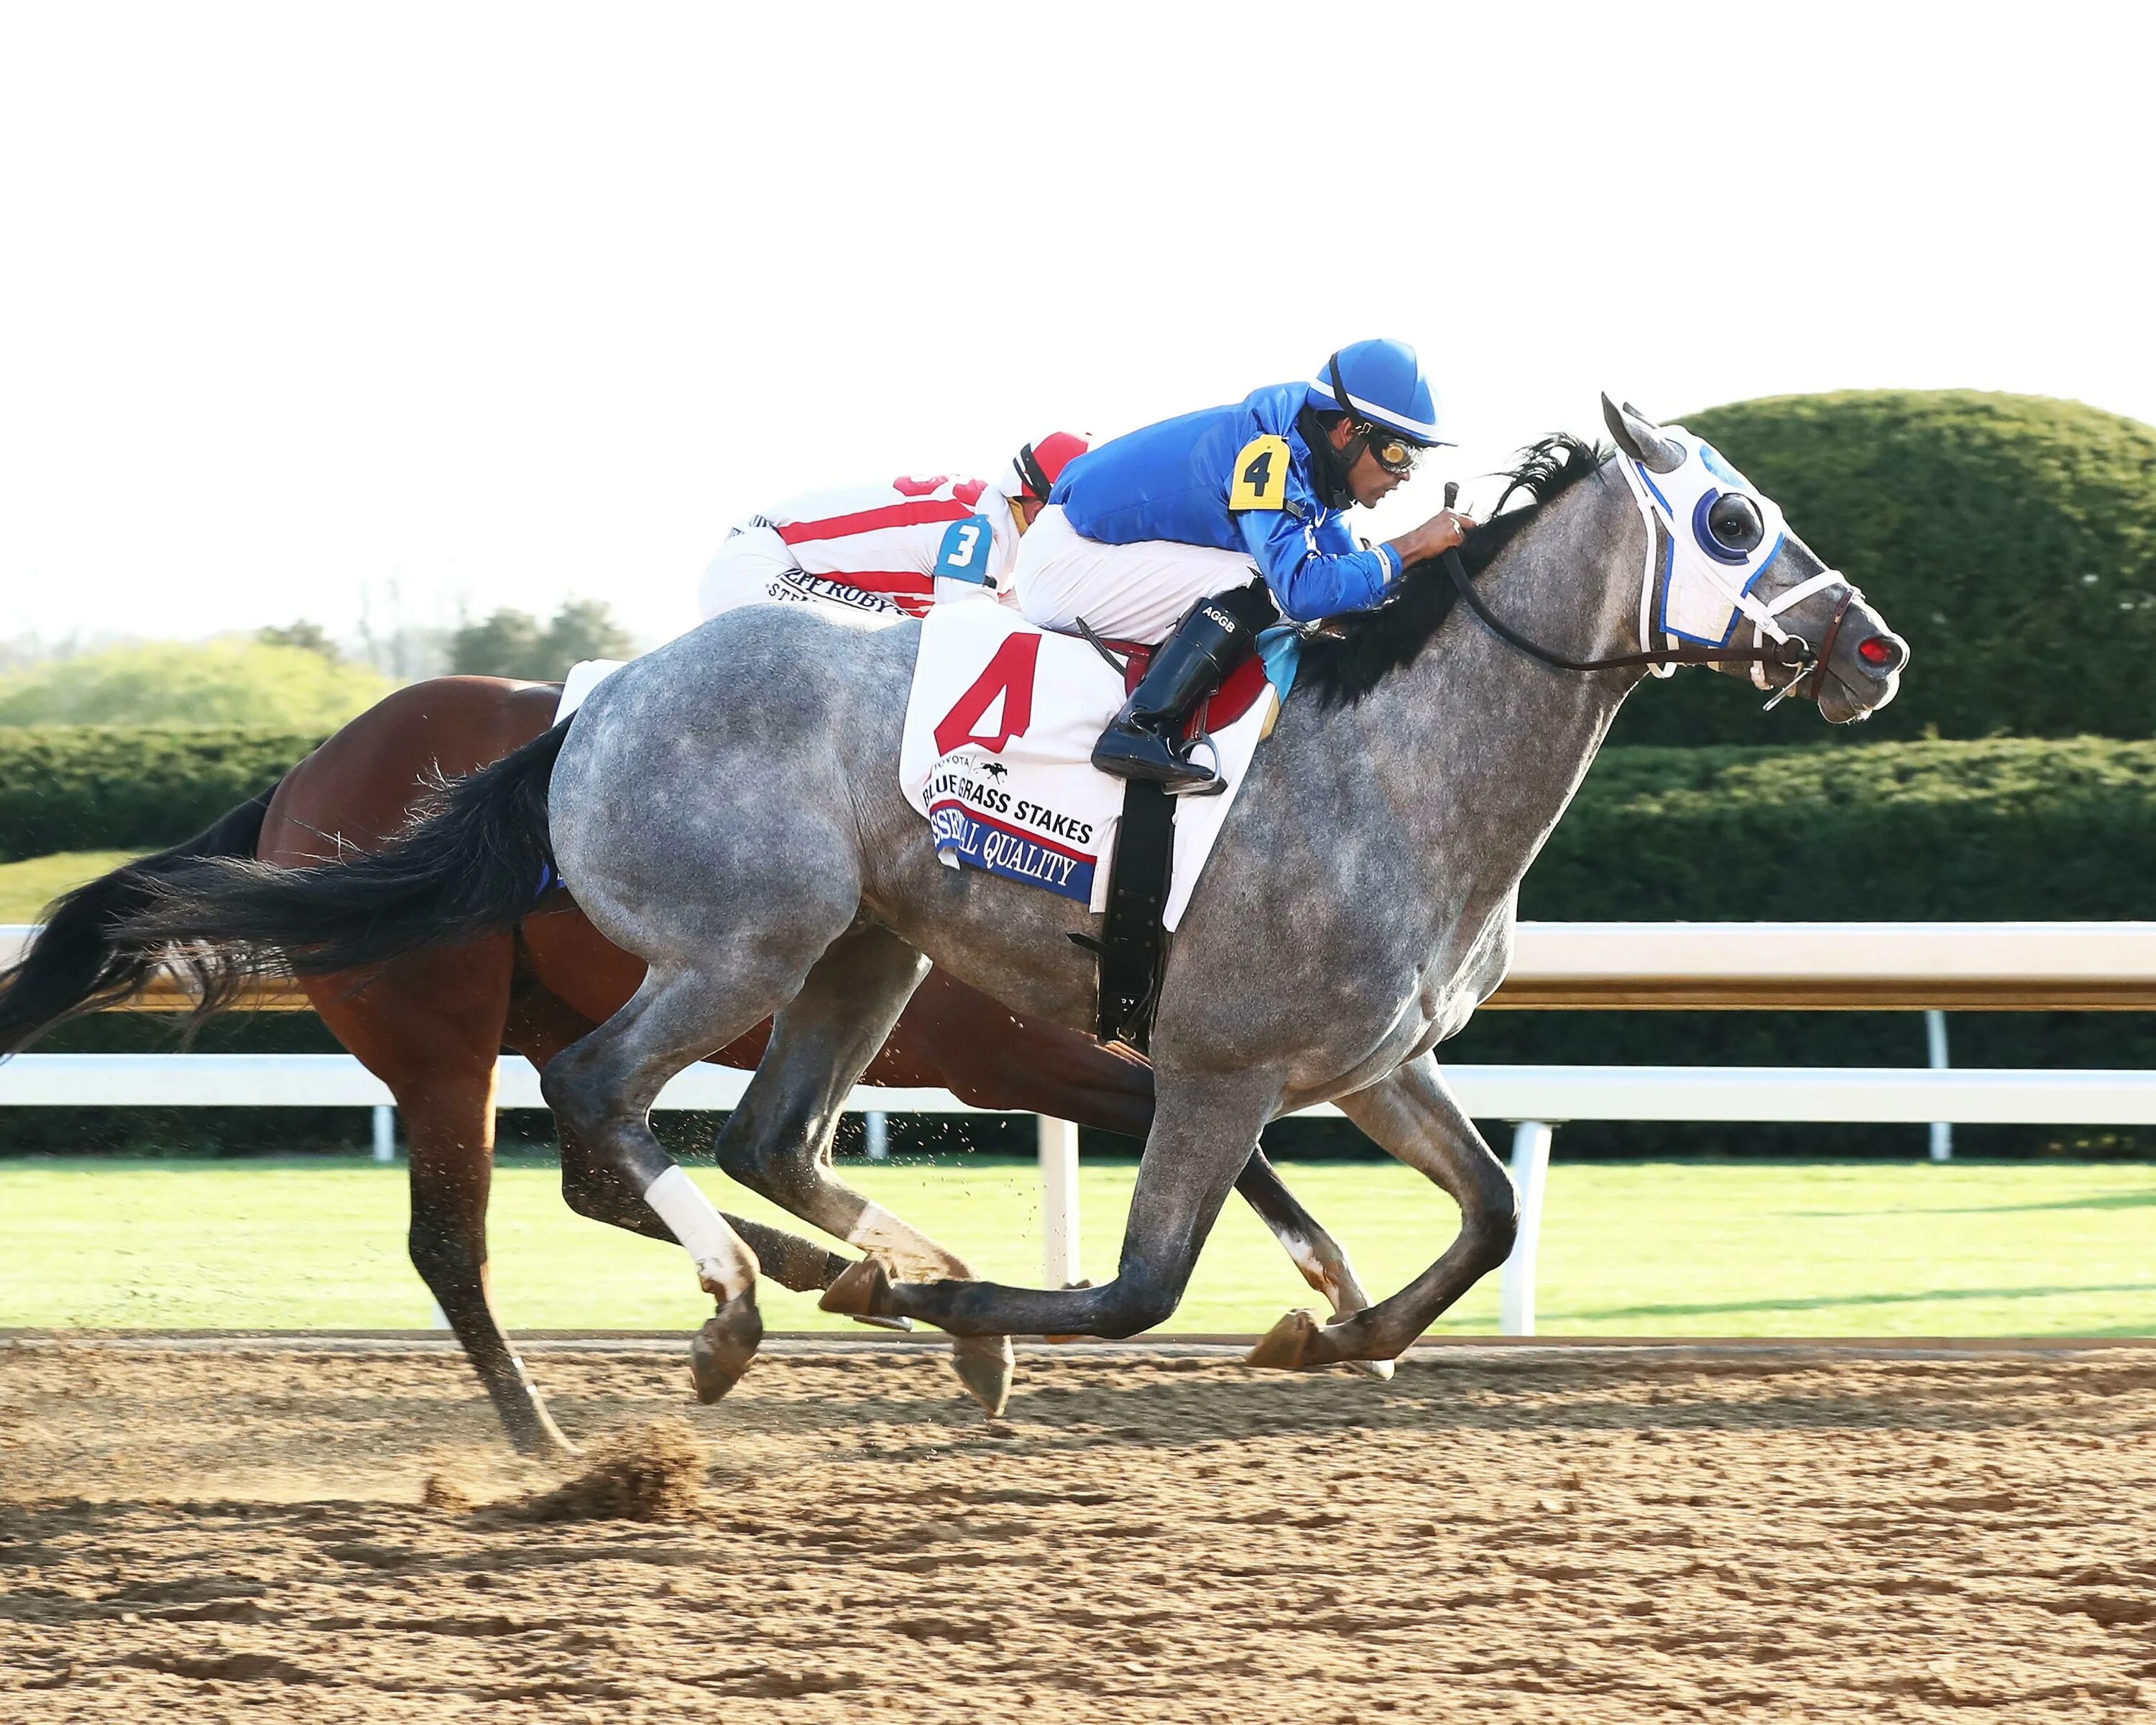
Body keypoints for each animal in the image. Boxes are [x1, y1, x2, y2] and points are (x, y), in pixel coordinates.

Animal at [109, 401, 1915, 1389]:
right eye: (1733, 518)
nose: (1875, 645)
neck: (1390, 758)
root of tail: (583, 717)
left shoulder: (1367, 1059)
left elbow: (1489, 1213)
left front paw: (1335, 1329)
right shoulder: (1215, 1064)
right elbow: (1141, 1288)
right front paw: (972, 1300)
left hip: (861, 955)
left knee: (761, 1137)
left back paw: (826, 1285)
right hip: (718, 949)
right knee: (587, 1113)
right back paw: (736, 1314)